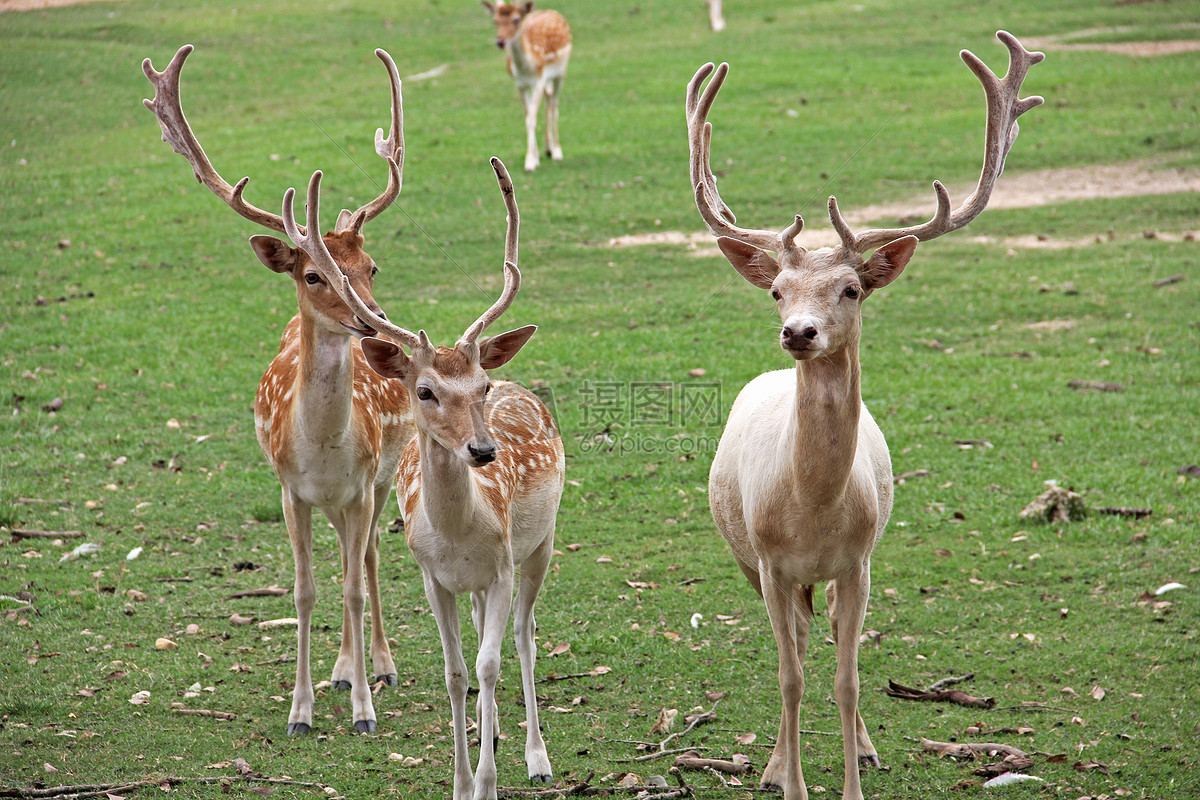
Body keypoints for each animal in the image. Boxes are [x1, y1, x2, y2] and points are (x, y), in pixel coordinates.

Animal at [144, 42, 417, 734]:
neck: (321, 452)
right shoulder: (291, 491)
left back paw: (377, 665)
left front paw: (363, 710)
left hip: (383, 477)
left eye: (371, 266)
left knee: (367, 560)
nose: (375, 320)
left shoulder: (359, 486)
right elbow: (304, 588)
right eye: (315, 274)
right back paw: (342, 668)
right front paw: (301, 709)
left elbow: (352, 585)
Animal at [480, 1, 568, 172]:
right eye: (495, 21)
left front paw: (530, 162)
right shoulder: (520, 84)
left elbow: (531, 118)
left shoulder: (538, 81)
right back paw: (547, 148)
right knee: (549, 97)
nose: (500, 41)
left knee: (555, 104)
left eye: (515, 20)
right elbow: (527, 115)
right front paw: (535, 157)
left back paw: (556, 151)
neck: (526, 68)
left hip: (560, 73)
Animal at [691, 31, 1046, 800]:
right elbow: (791, 676)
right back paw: (773, 761)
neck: (813, 509)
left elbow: (847, 678)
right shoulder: (769, 563)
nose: (798, 332)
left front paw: (854, 775)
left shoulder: (858, 561)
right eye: (777, 290)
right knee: (795, 646)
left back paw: (864, 745)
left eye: (852, 289)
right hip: (743, 555)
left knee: (828, 639)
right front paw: (788, 780)